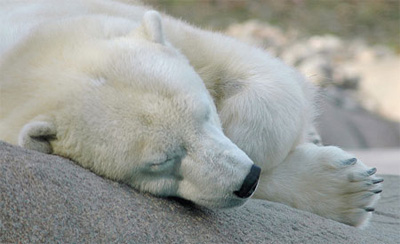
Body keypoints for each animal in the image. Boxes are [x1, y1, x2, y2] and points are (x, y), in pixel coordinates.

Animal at [0, 0, 382, 229]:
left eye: (206, 114)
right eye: (161, 162)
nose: (248, 181)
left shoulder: (118, 16)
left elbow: (265, 78)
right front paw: (349, 190)